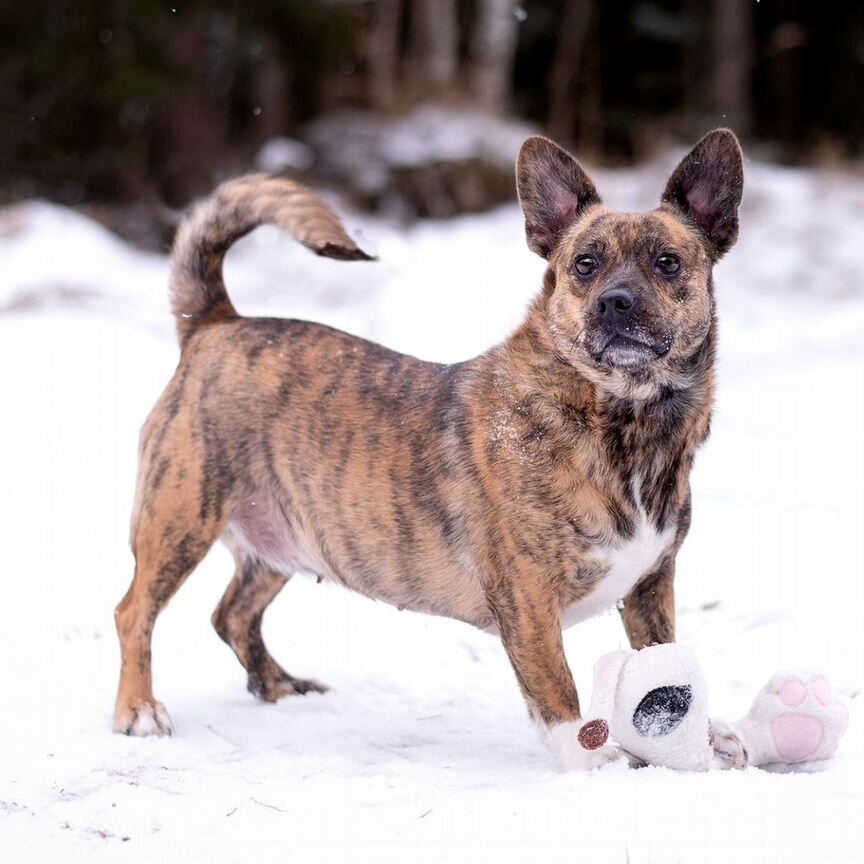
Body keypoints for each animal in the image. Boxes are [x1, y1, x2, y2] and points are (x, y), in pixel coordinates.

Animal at [115, 128, 744, 768]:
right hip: (180, 518)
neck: (624, 417)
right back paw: (139, 710)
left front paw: (704, 735)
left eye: (668, 262)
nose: (614, 302)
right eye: (584, 265)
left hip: (286, 538)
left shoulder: (650, 587)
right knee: (133, 612)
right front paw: (590, 757)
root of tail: (215, 323)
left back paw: (278, 686)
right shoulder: (528, 600)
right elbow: (556, 690)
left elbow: (663, 656)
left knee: (232, 615)